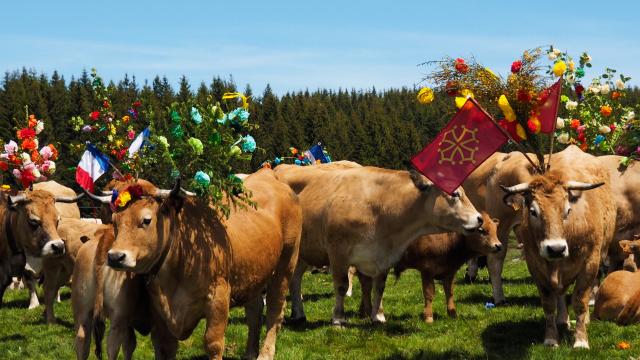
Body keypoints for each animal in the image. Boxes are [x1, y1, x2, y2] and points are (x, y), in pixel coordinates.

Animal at [85, 169, 302, 360]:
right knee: (254, 312)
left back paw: (265, 353)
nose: (115, 257)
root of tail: (269, 175)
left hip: (286, 264)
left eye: (146, 220)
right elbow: (164, 346)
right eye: (115, 221)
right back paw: (250, 353)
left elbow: (213, 343)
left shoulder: (218, 296)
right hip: (254, 273)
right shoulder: (159, 311)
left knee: (275, 310)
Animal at [272, 165, 482, 324]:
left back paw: (299, 313)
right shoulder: (338, 253)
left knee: (295, 279)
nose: (479, 219)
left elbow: (379, 287)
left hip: (303, 252)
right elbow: (341, 286)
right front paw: (339, 319)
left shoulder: (383, 256)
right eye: (455, 194)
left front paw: (378, 316)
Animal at [500, 145, 616, 348]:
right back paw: (562, 319)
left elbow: (580, 301)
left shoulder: (590, 263)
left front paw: (581, 340)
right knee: (560, 293)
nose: (555, 249)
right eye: (533, 211)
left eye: (568, 210)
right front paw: (551, 338)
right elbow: (548, 303)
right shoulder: (535, 265)